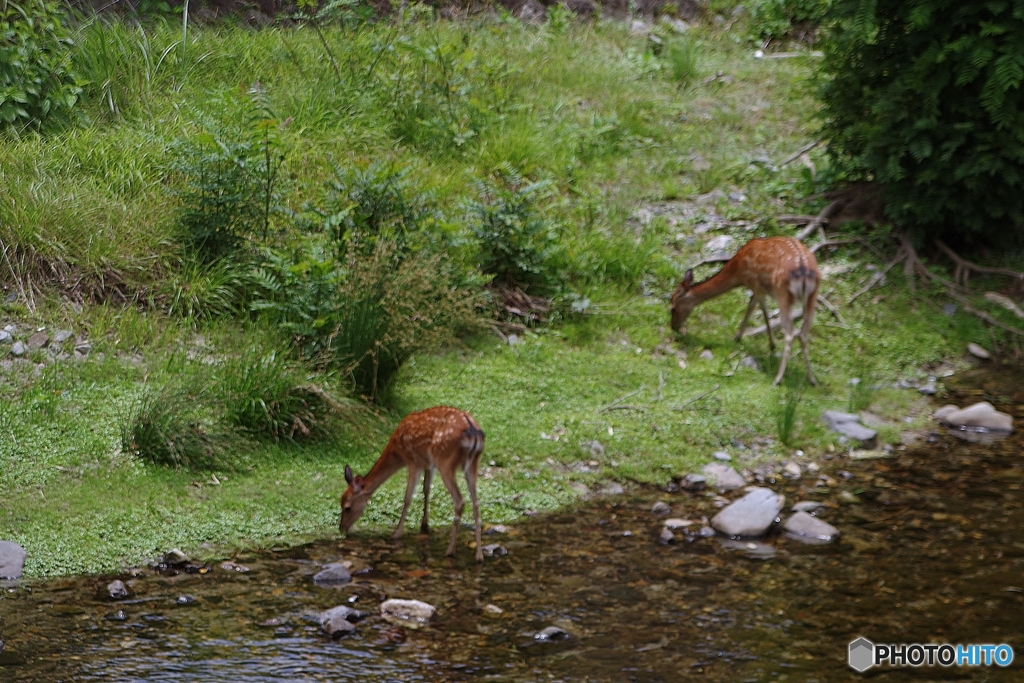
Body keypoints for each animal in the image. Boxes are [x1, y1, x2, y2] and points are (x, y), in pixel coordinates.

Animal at [339, 409, 487, 565]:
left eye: (347, 507)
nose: (341, 527)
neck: (396, 451)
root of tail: (473, 431)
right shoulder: (428, 464)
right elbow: (426, 489)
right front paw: (424, 526)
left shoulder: (413, 462)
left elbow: (408, 498)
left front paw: (397, 533)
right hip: (472, 463)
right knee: (476, 504)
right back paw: (479, 556)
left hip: (445, 460)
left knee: (460, 501)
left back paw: (450, 551)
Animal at [667, 235, 819, 385]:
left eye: (672, 308)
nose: (673, 326)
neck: (738, 272)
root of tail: (804, 272)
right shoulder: (760, 289)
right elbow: (762, 310)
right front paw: (771, 344)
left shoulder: (756, 285)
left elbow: (756, 308)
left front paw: (738, 337)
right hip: (812, 296)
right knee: (803, 333)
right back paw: (812, 379)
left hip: (782, 293)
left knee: (791, 333)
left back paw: (778, 379)